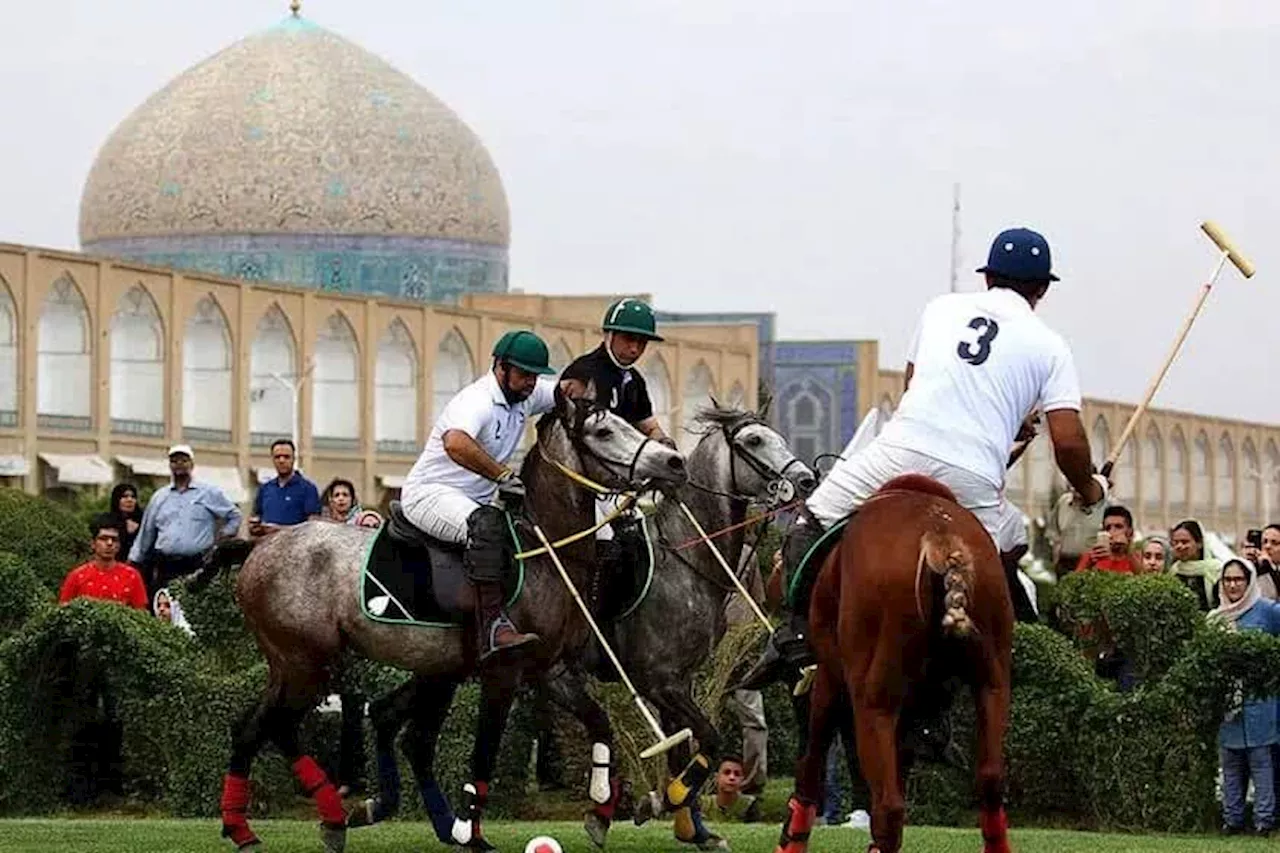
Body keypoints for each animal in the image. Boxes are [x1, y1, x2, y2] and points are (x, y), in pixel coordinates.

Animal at [193, 394, 686, 850]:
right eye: (604, 432)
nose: (675, 461)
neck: (545, 551)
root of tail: (257, 547)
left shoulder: (549, 669)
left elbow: (600, 721)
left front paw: (600, 806)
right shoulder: (502, 671)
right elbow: (485, 750)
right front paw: (471, 829)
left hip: (309, 664)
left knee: (260, 727)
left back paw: (267, 825)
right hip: (305, 661)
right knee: (274, 725)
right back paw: (312, 817)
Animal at [773, 471, 1013, 850]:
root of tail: (939, 534)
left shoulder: (829, 676)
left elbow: (812, 760)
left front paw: (791, 838)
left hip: (874, 697)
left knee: (888, 805)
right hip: (993, 679)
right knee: (990, 780)